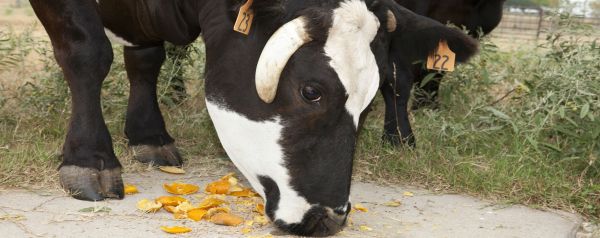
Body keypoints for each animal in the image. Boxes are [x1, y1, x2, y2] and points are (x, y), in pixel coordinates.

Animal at [29, 0, 478, 235]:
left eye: (369, 99)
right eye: (311, 90)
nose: (331, 217)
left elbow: (145, 57)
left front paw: (149, 136)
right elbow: (88, 52)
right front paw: (89, 160)